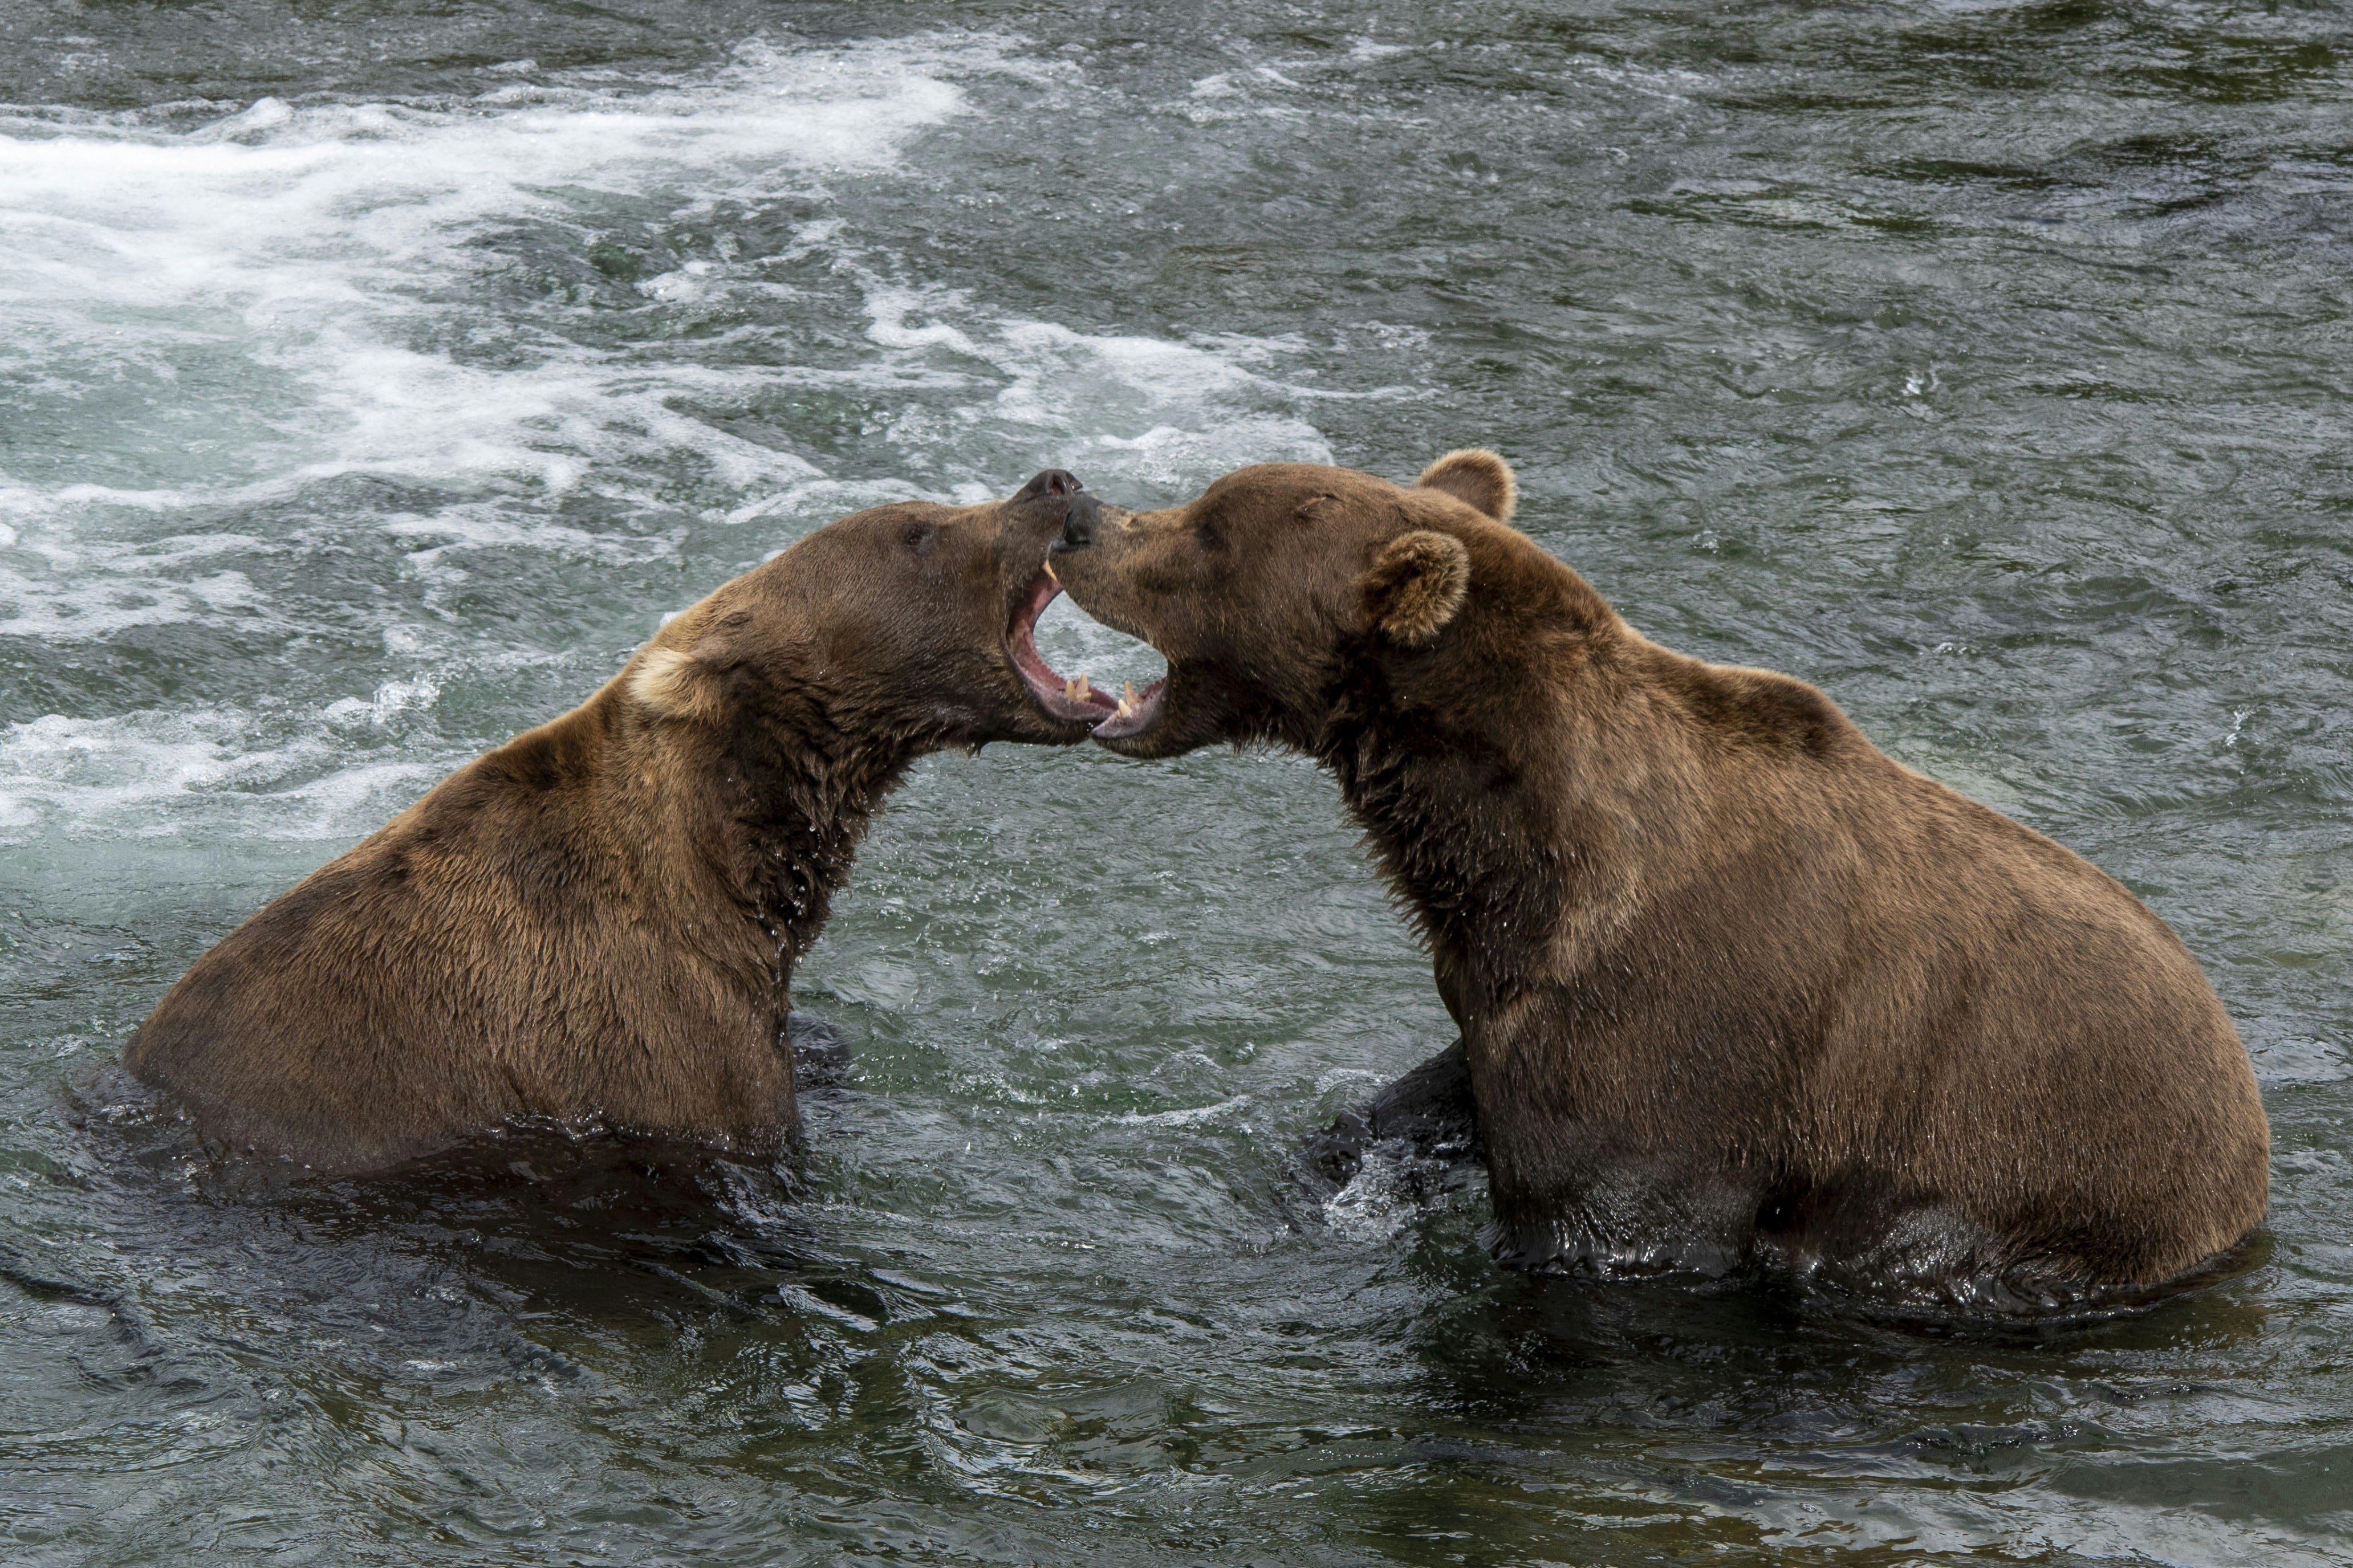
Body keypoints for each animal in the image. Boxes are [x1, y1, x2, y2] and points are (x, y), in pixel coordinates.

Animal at [1048, 451, 2270, 1314]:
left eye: (1208, 528)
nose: (1077, 514)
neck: (1514, 852)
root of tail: (2246, 1148)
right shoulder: (1506, 992)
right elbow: (1414, 1107)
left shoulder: (1670, 1041)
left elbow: (1609, 1229)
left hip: (2025, 1176)